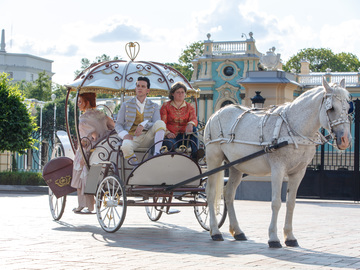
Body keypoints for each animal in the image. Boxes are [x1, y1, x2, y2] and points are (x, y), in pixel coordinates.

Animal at [205, 77, 352, 248]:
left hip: (236, 166)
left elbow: (291, 203)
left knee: (228, 194)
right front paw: (273, 238)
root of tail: (217, 113)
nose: (345, 140)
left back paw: (238, 231)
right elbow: (276, 202)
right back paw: (215, 231)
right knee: (211, 192)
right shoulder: (278, 170)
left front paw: (290, 237)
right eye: (331, 108)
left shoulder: (298, 173)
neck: (294, 129)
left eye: (348, 108)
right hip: (214, 159)